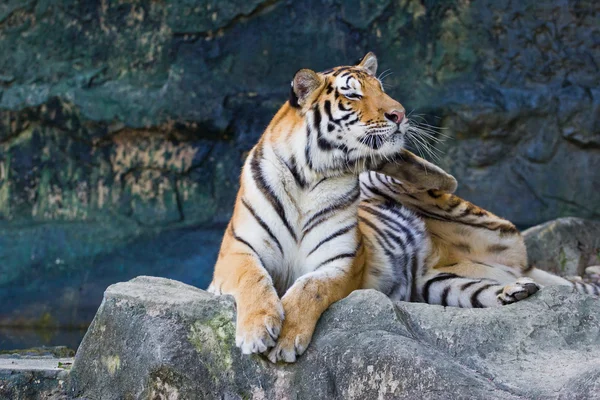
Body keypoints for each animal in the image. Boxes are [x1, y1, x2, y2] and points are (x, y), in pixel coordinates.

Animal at [209, 51, 596, 364]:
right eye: (353, 93)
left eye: (380, 88)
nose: (399, 114)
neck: (310, 174)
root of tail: (519, 266)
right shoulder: (237, 251)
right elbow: (252, 279)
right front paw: (257, 331)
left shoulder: (339, 262)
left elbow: (309, 288)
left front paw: (286, 340)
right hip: (442, 285)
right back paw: (515, 290)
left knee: (443, 181)